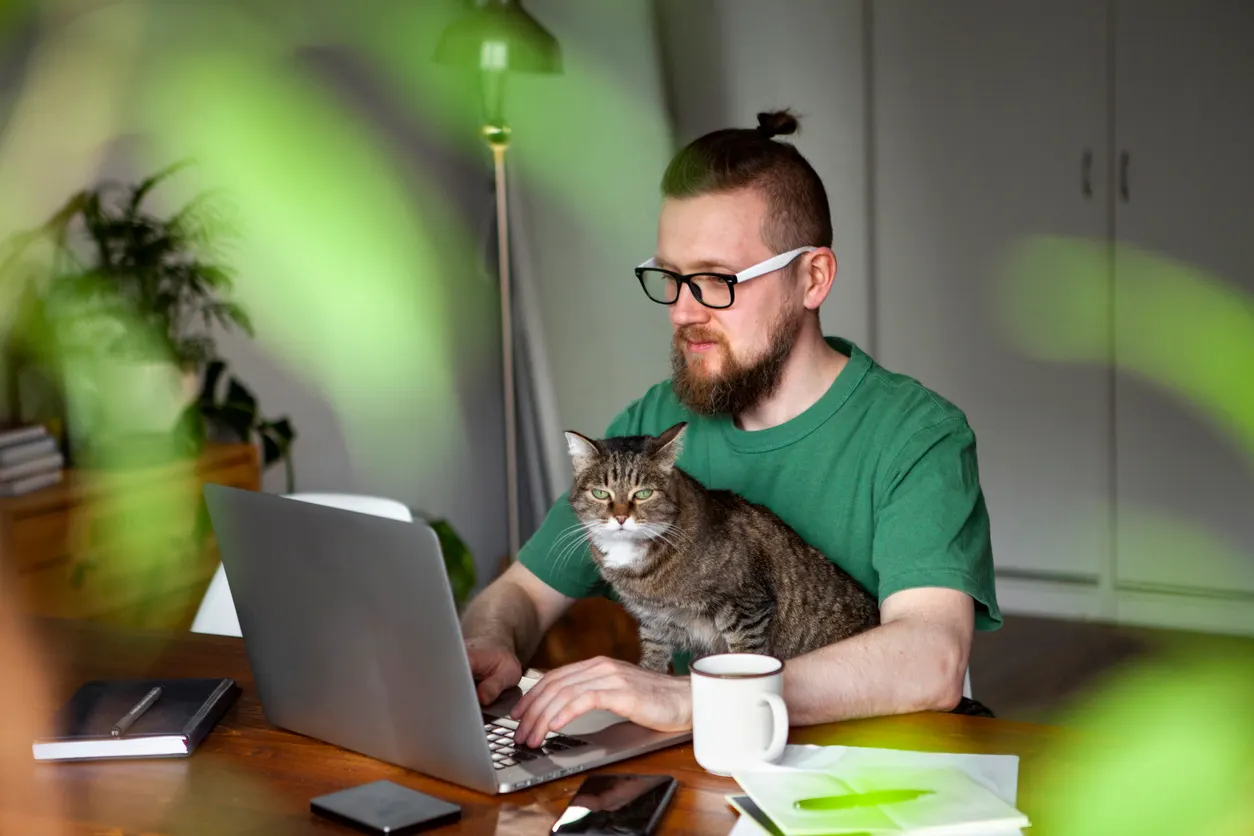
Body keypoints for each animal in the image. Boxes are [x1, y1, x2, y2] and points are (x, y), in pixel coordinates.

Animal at [564, 421, 877, 671]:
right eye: (600, 493)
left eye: (643, 494)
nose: (620, 517)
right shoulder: (653, 620)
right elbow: (653, 657)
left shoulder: (746, 607)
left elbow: (746, 655)